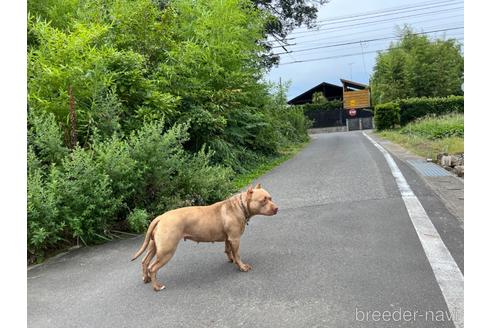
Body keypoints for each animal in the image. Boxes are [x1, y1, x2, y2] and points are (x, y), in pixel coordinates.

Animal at [130, 183, 276, 290]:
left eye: (270, 198)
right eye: (263, 200)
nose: (276, 208)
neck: (240, 206)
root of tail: (160, 217)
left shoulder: (229, 239)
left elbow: (229, 250)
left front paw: (232, 260)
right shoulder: (235, 239)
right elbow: (238, 254)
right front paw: (242, 266)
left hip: (155, 246)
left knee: (145, 261)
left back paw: (146, 279)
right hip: (167, 251)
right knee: (153, 267)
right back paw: (157, 286)